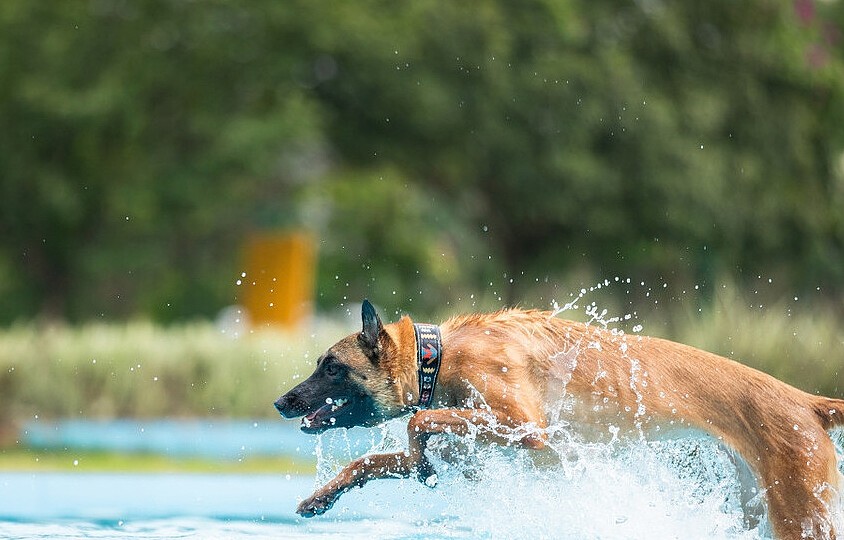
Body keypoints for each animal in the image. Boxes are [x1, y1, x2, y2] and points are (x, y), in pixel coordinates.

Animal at [274, 302, 840, 536]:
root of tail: (807, 400)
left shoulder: (528, 428)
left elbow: (418, 425)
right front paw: (322, 497)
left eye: (331, 366)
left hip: (800, 516)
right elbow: (374, 460)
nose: (281, 402)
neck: (437, 355)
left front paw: (421, 453)